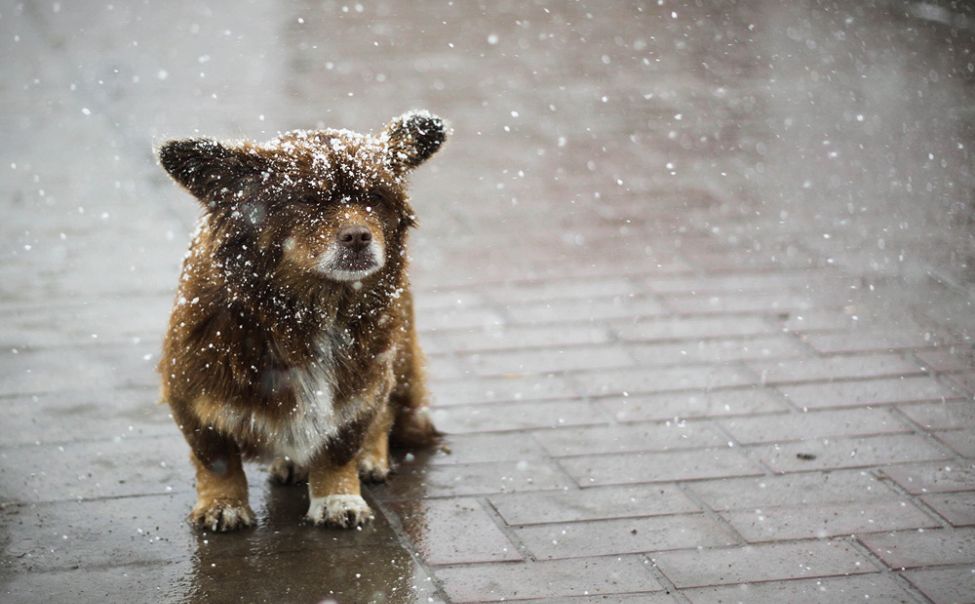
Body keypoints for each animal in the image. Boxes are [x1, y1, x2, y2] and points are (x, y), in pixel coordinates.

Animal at [157, 111, 446, 532]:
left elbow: (340, 446)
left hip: (397, 359)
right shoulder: (190, 390)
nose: (358, 236)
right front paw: (223, 504)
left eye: (375, 197)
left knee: (388, 412)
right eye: (307, 200)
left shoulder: (361, 385)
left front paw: (338, 497)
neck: (311, 308)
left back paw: (371, 457)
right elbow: (216, 458)